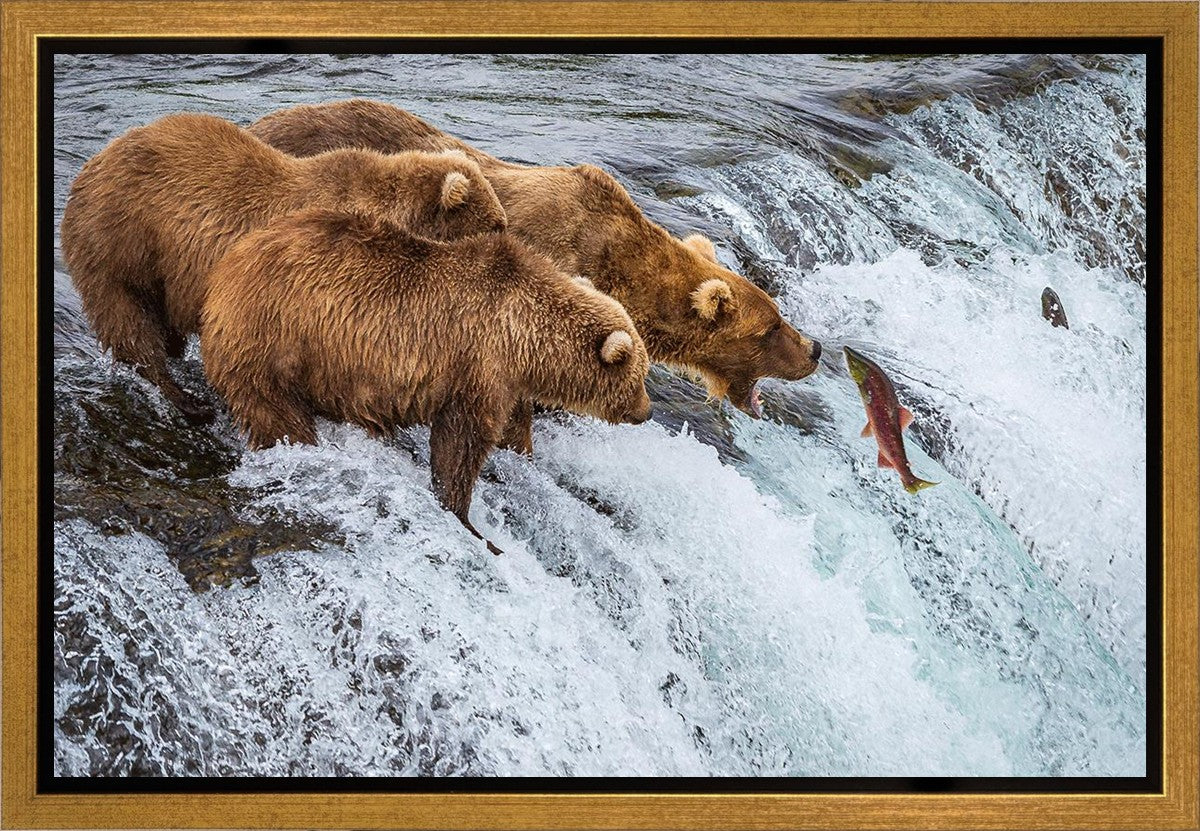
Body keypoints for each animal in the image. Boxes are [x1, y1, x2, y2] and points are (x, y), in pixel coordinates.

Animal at [60, 112, 507, 424]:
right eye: (496, 224)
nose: (509, 239)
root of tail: (92, 163)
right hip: (121, 242)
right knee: (129, 322)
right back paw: (186, 400)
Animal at [200, 207, 652, 555]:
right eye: (640, 376)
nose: (646, 412)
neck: (524, 336)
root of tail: (225, 269)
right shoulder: (477, 364)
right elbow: (461, 443)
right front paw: (470, 521)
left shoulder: (506, 381)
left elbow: (511, 430)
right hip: (274, 340)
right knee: (277, 413)